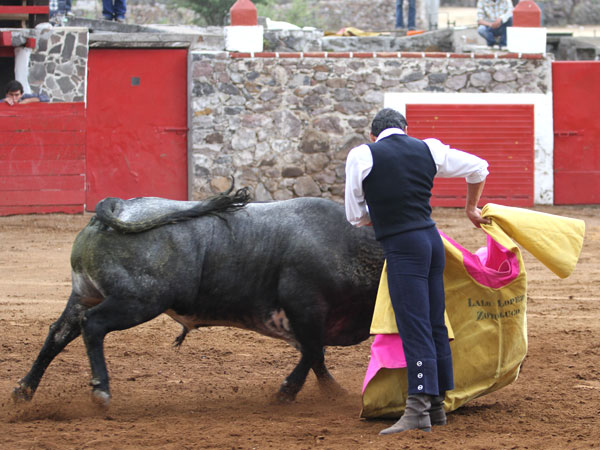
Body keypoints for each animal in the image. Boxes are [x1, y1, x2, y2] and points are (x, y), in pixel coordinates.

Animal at [12, 188, 384, 406]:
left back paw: (24, 390)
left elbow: (315, 355)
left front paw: (333, 393)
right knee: (92, 326)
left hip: (83, 294)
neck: (351, 247)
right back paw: (100, 389)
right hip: (138, 302)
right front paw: (287, 392)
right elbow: (313, 352)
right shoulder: (306, 308)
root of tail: (120, 206)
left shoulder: (304, 320)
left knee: (59, 333)